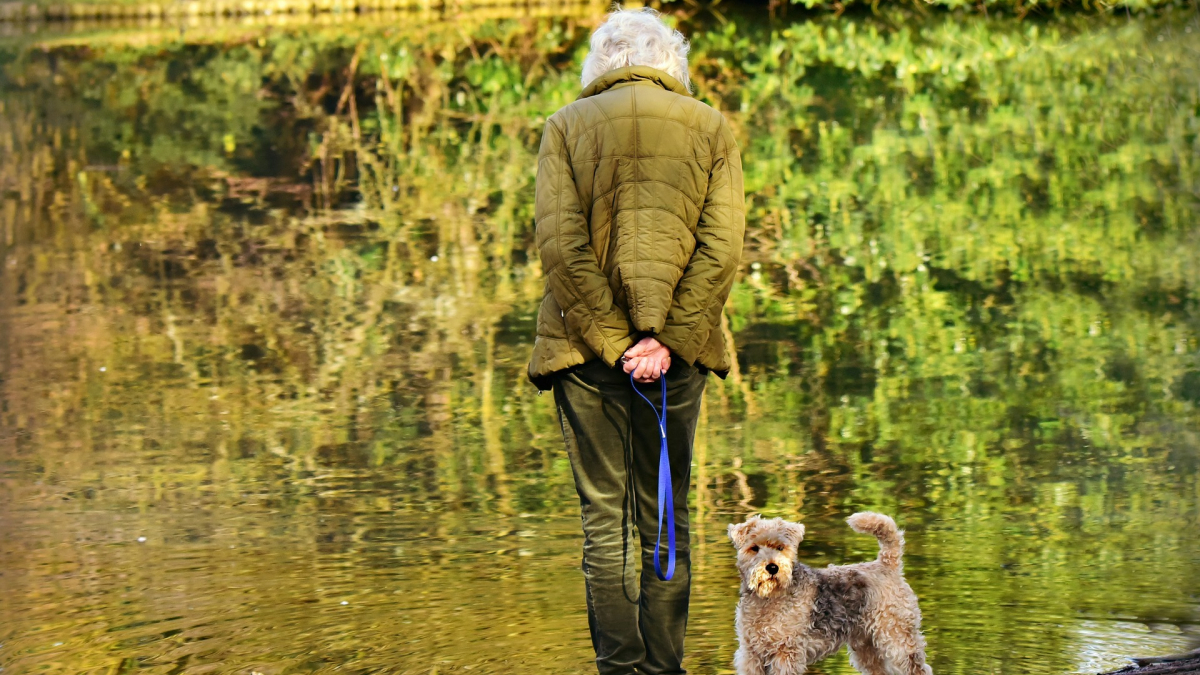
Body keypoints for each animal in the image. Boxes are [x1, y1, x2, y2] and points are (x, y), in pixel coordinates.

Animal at [724, 509, 931, 672]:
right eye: (754, 548)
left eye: (780, 547)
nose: (773, 568)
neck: (767, 600)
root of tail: (887, 564)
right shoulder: (751, 653)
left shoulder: (786, 652)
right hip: (867, 647)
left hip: (898, 640)